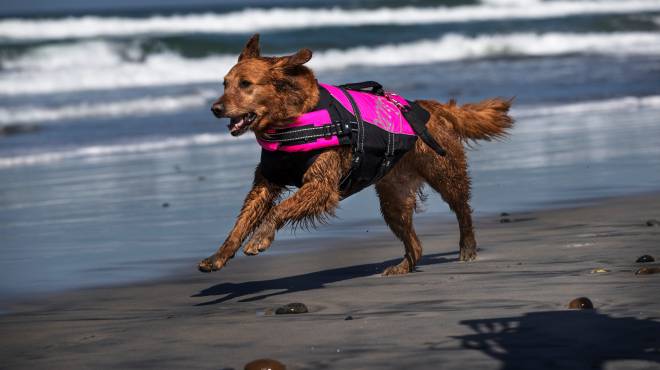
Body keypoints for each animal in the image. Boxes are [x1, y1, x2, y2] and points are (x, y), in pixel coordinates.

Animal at [199, 34, 512, 276]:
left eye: (246, 84)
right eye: (224, 83)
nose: (215, 108)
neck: (289, 122)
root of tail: (430, 107)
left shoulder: (322, 185)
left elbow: (280, 209)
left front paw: (260, 238)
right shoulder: (267, 181)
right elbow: (241, 222)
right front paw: (219, 256)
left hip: (444, 170)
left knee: (462, 207)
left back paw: (467, 247)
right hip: (393, 196)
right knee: (415, 242)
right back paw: (403, 266)